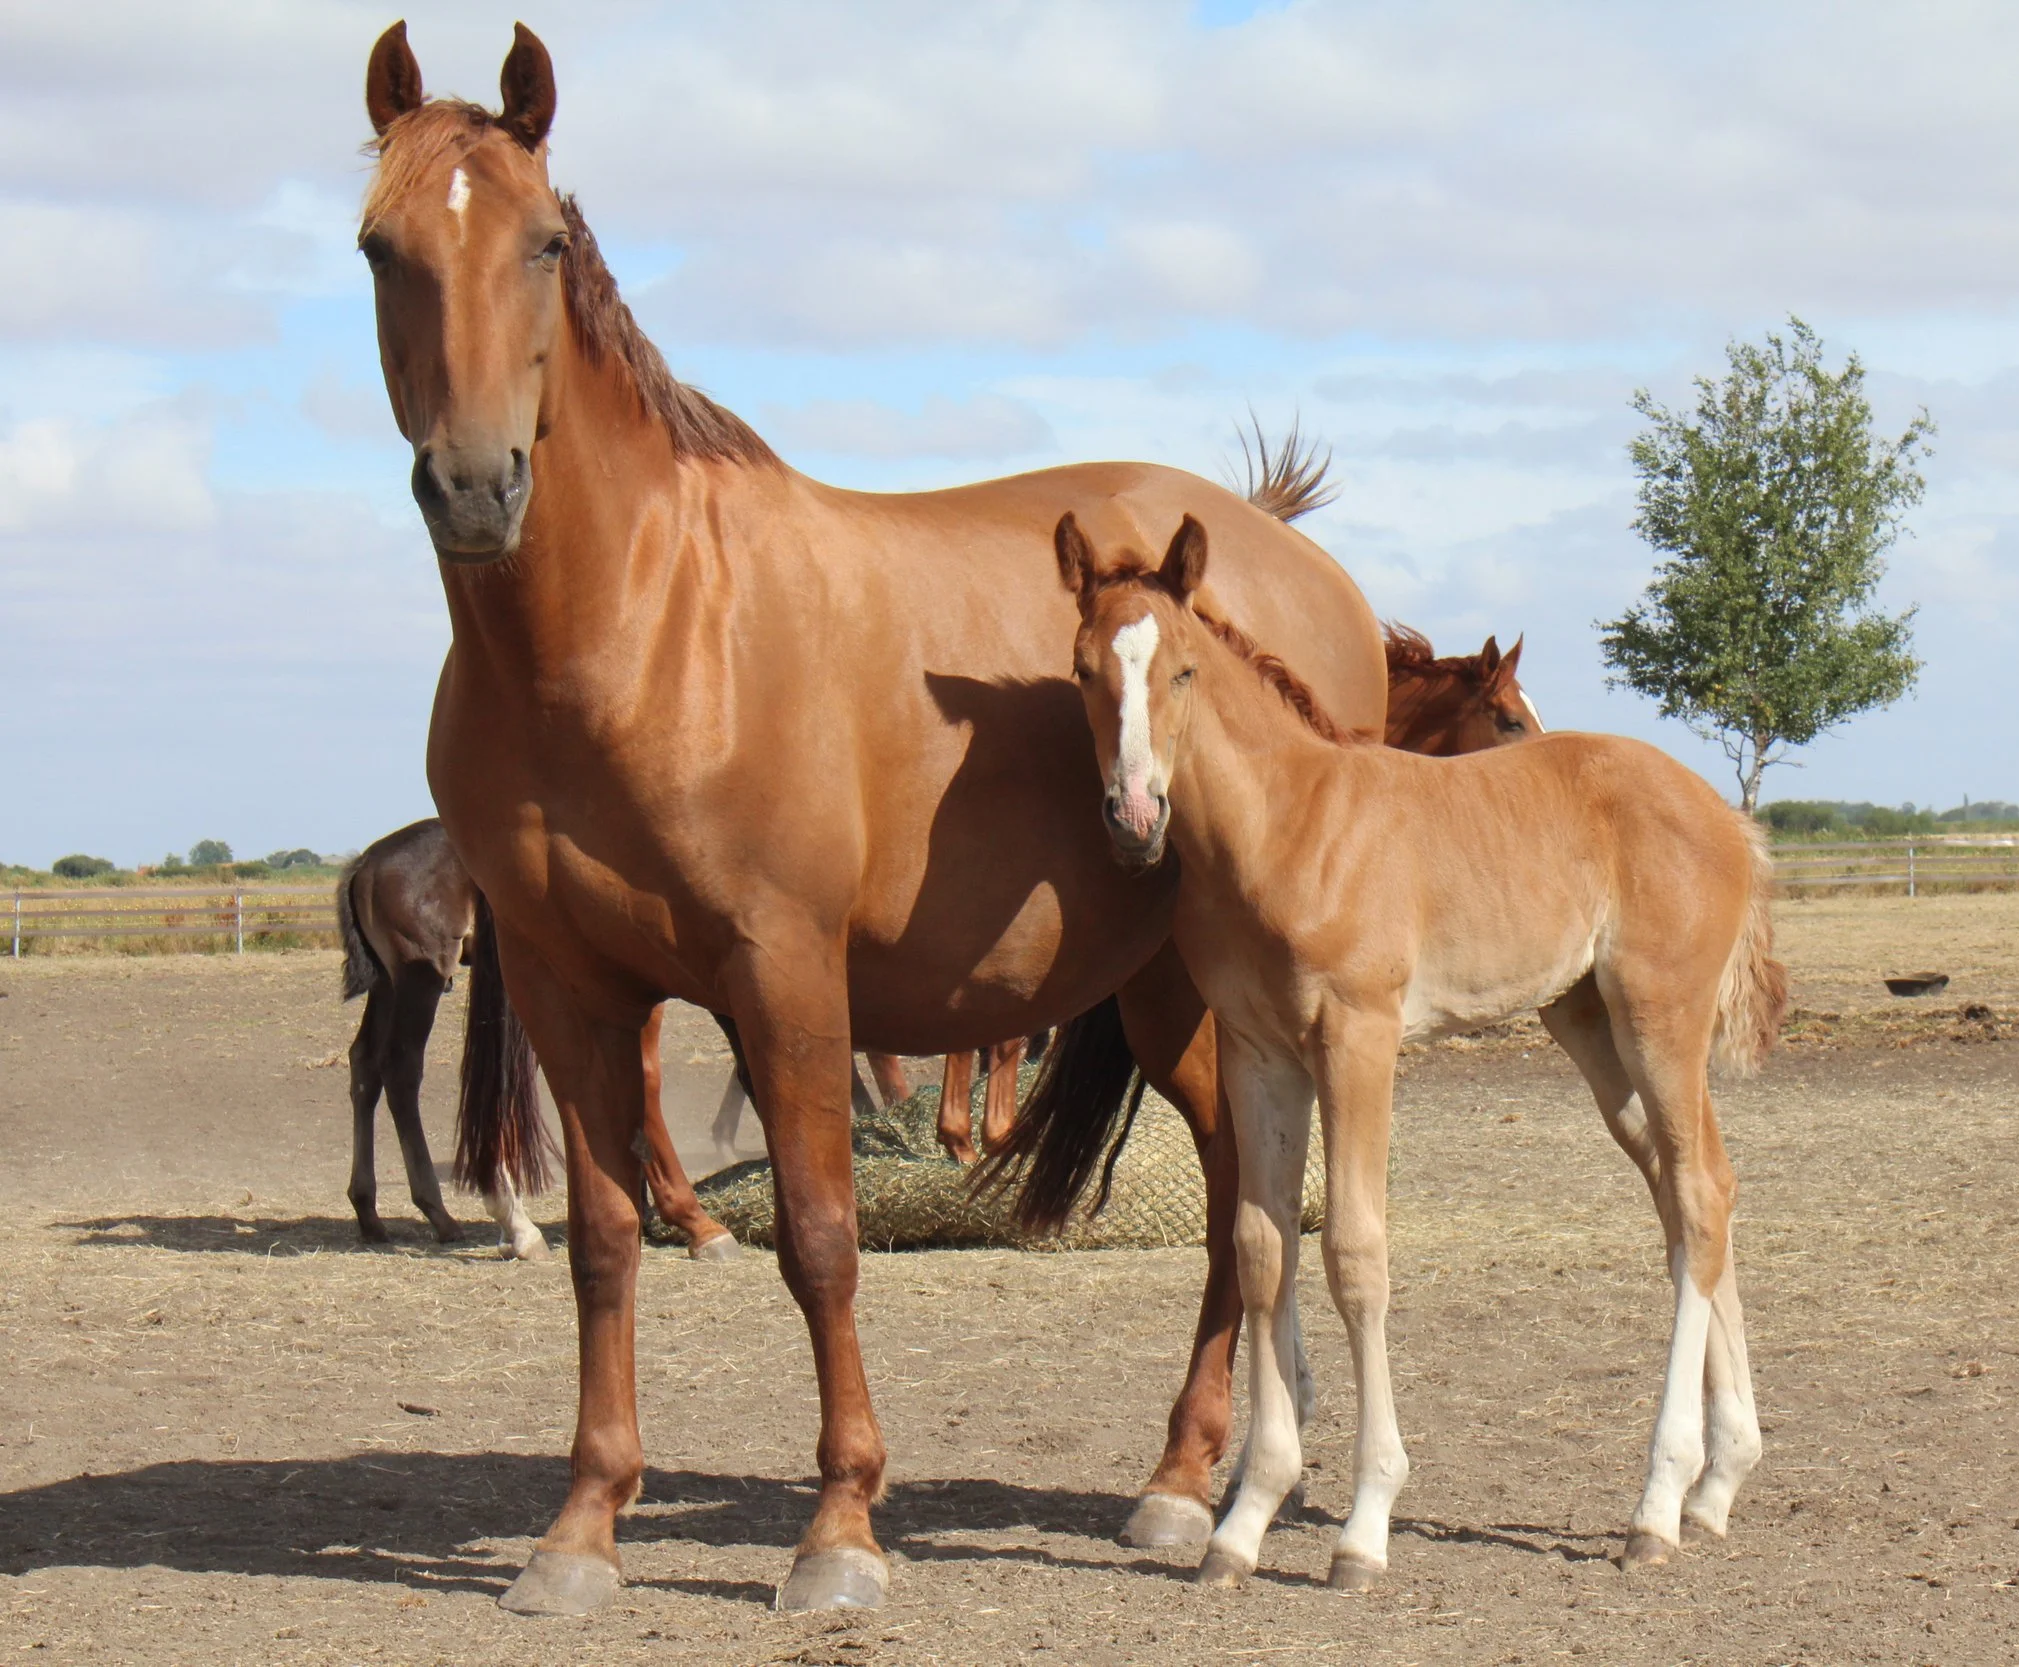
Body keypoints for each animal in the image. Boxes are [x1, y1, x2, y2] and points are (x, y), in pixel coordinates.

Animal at [339, 820, 736, 1261]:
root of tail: (367, 863)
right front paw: (690, 1220)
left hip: (388, 984)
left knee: (365, 1064)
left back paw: (369, 1212)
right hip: (420, 978)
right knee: (402, 1069)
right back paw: (444, 1212)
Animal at [1054, 510, 1785, 1587]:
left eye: (1182, 669)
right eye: (1082, 671)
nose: (1134, 816)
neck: (1287, 824)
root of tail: (1727, 815)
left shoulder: (1358, 1035)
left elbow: (1355, 1251)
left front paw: (1364, 1525)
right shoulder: (1259, 1051)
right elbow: (1263, 1246)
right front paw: (1243, 1521)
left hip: (1659, 1015)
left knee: (1696, 1194)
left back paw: (1657, 1504)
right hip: (1591, 1024)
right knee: (1696, 1192)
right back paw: (1717, 1484)